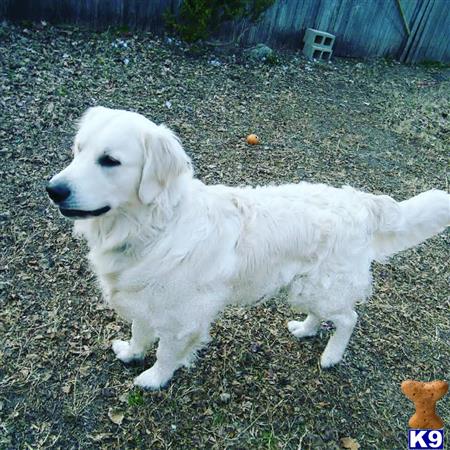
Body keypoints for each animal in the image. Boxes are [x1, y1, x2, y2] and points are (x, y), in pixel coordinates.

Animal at [47, 107, 448, 388]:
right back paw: (305, 329)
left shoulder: (181, 316)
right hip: (302, 287)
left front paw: (153, 379)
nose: (53, 190)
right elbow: (140, 331)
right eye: (78, 150)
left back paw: (332, 356)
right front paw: (132, 353)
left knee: (349, 318)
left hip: (323, 287)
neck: (154, 227)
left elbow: (165, 351)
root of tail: (361, 202)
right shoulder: (144, 298)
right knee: (322, 315)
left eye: (110, 161)